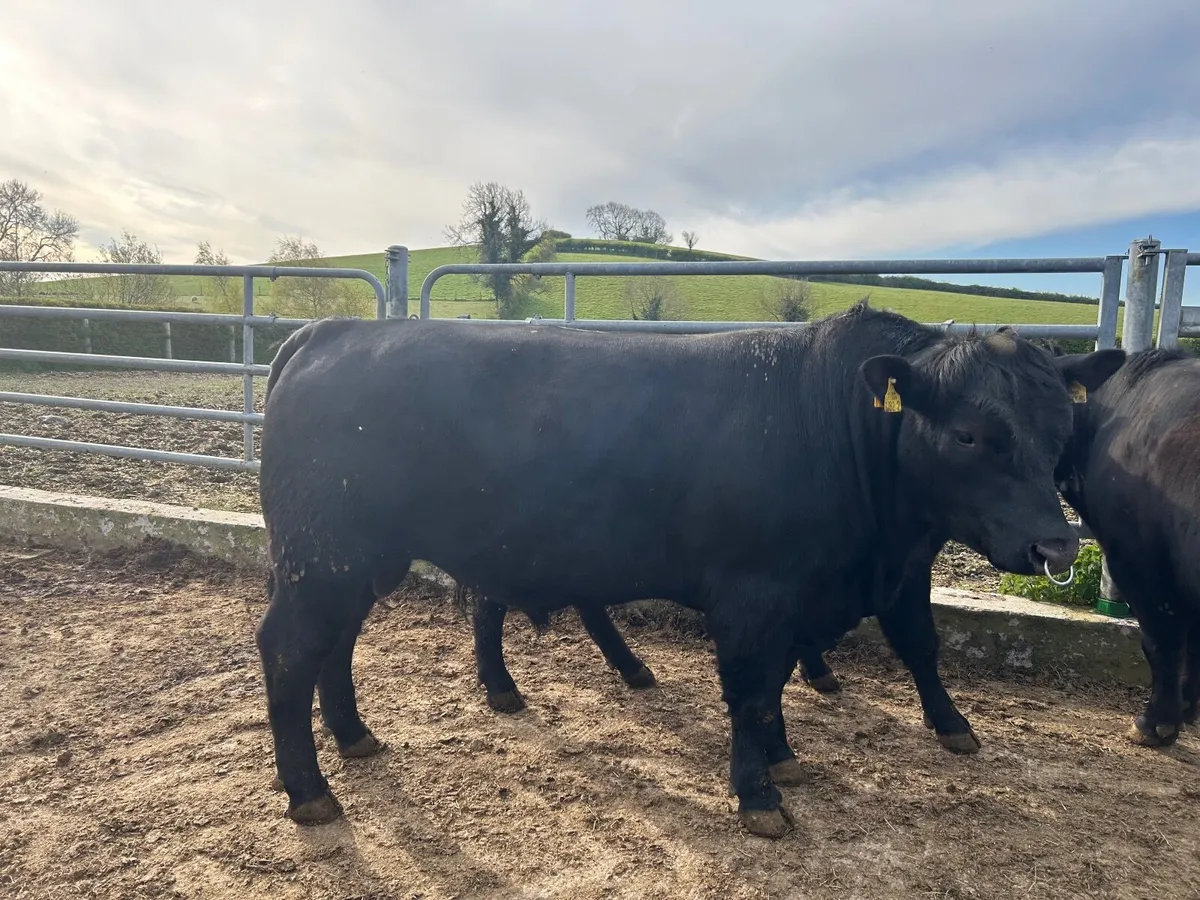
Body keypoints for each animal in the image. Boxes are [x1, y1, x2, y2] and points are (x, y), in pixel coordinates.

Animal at [255, 300, 1125, 838]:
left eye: (1061, 429)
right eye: (972, 435)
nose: (1056, 547)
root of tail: (327, 331)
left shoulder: (830, 590)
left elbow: (790, 679)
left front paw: (782, 757)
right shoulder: (753, 593)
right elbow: (747, 686)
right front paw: (759, 792)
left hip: (354, 559)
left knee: (339, 645)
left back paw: (357, 736)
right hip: (321, 555)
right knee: (290, 650)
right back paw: (309, 790)